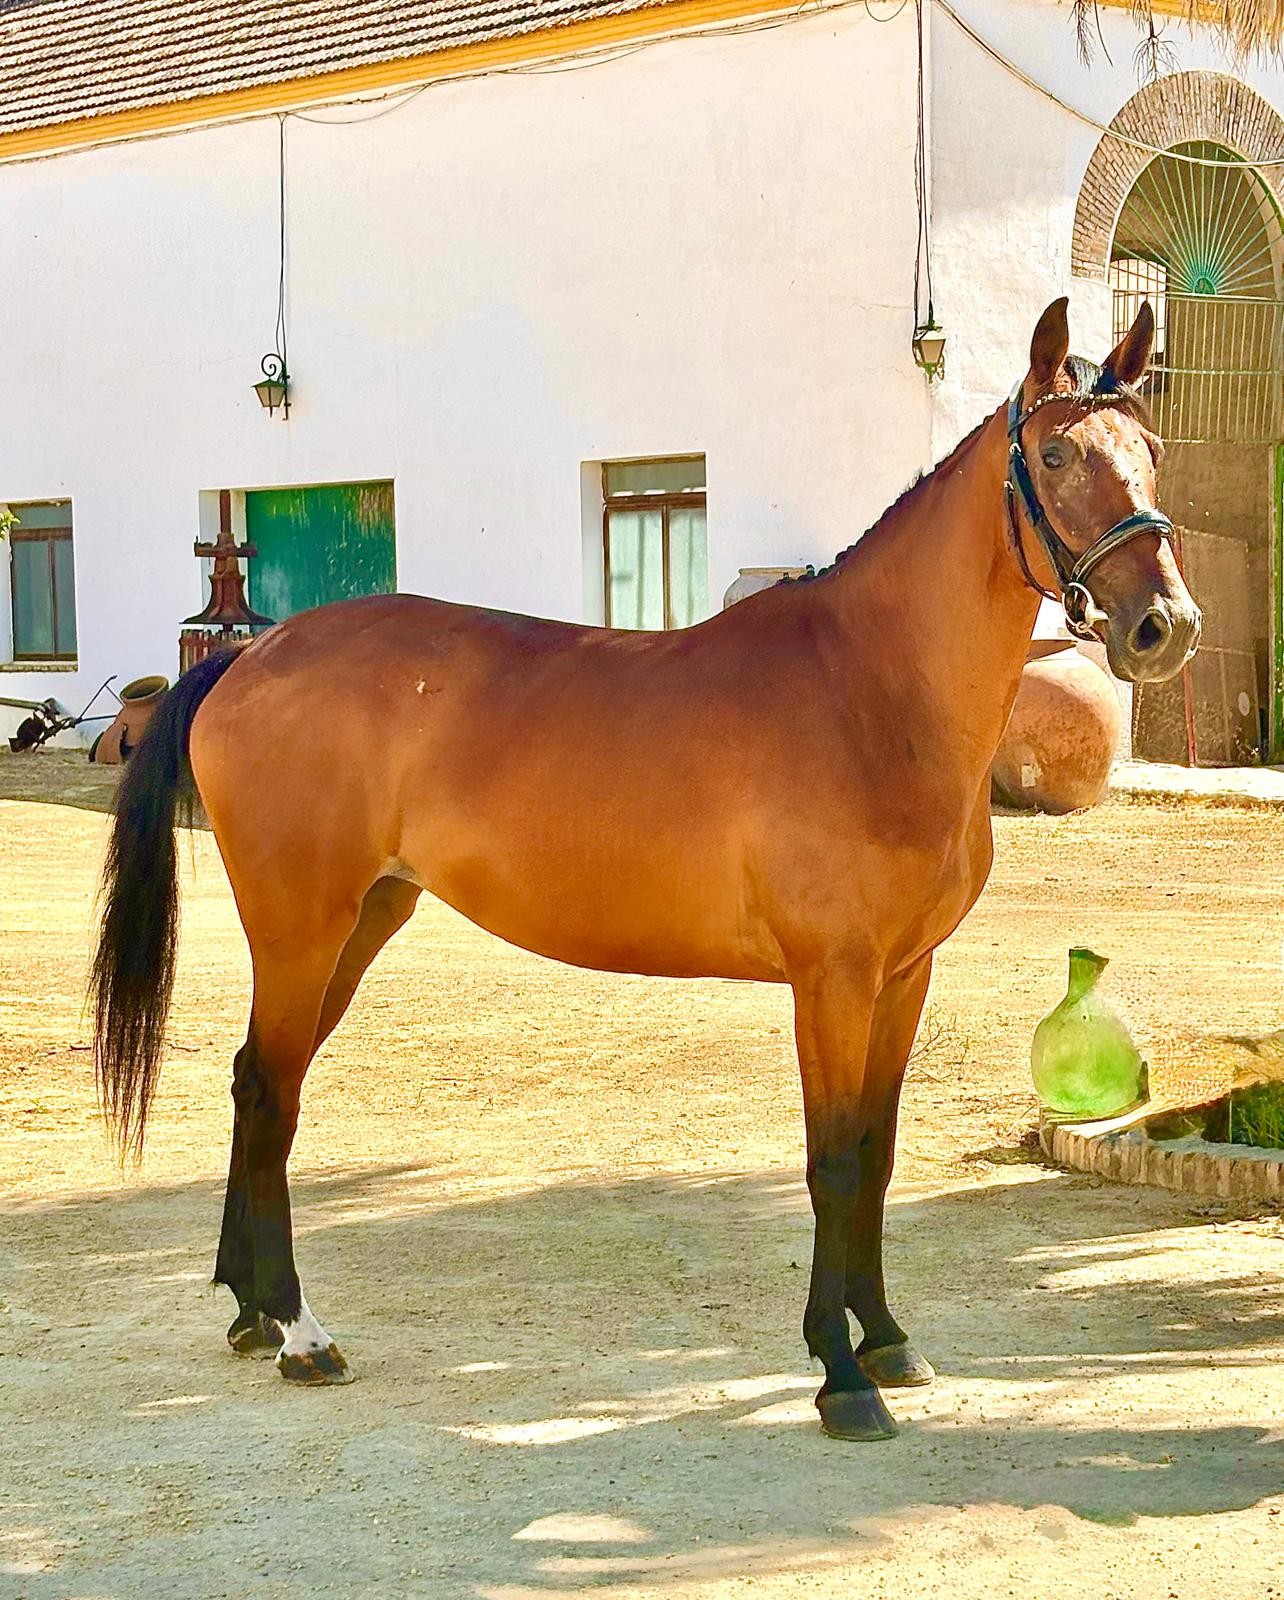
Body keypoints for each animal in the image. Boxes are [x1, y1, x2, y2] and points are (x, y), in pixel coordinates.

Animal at [92, 298, 1199, 1441]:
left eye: (1152, 451)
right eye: (1056, 453)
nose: (1162, 627)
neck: (870, 691)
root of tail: (246, 658)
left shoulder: (903, 976)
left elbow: (879, 1153)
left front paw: (888, 1340)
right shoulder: (832, 981)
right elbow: (832, 1159)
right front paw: (839, 1373)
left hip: (364, 919)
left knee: (258, 1082)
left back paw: (250, 1313)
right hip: (301, 925)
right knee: (271, 1091)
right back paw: (302, 1334)